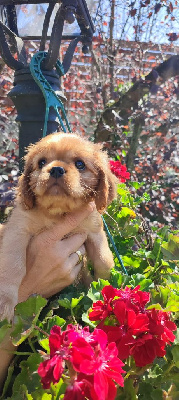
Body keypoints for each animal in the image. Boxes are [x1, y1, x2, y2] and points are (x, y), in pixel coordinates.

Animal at [0, 133, 117, 320]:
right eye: (41, 162)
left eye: (80, 164)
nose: (56, 169)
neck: (58, 213)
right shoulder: (17, 232)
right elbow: (14, 265)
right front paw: (4, 301)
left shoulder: (94, 232)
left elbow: (104, 260)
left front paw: (104, 285)